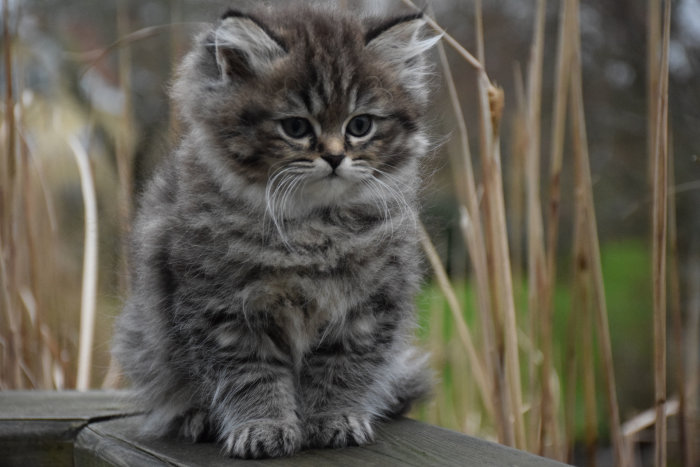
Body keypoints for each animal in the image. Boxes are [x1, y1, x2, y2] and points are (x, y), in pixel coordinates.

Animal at [112, 3, 440, 458]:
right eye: (296, 128)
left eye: (360, 126)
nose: (335, 157)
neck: (312, 227)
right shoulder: (224, 311)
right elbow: (254, 377)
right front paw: (262, 427)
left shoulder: (367, 309)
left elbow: (342, 370)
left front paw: (333, 419)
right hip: (143, 340)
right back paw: (197, 419)